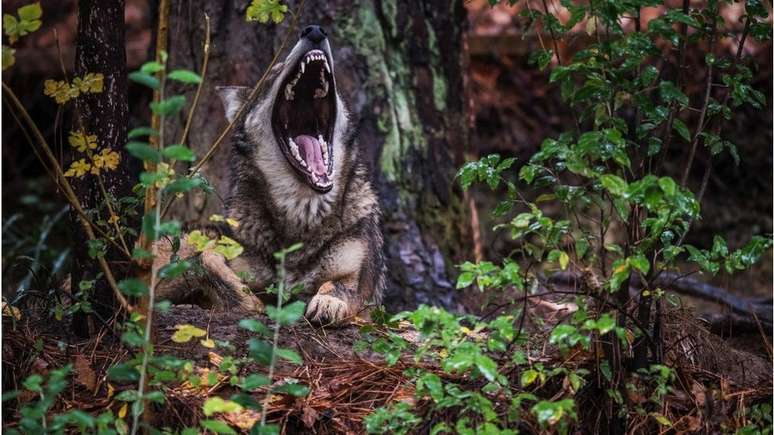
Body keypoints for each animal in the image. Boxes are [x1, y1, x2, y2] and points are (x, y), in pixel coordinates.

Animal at [155, 23, 388, 324]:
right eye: (275, 72)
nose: (314, 30)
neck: (301, 212)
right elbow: (211, 261)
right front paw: (250, 302)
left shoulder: (360, 288)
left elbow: (336, 286)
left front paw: (328, 302)